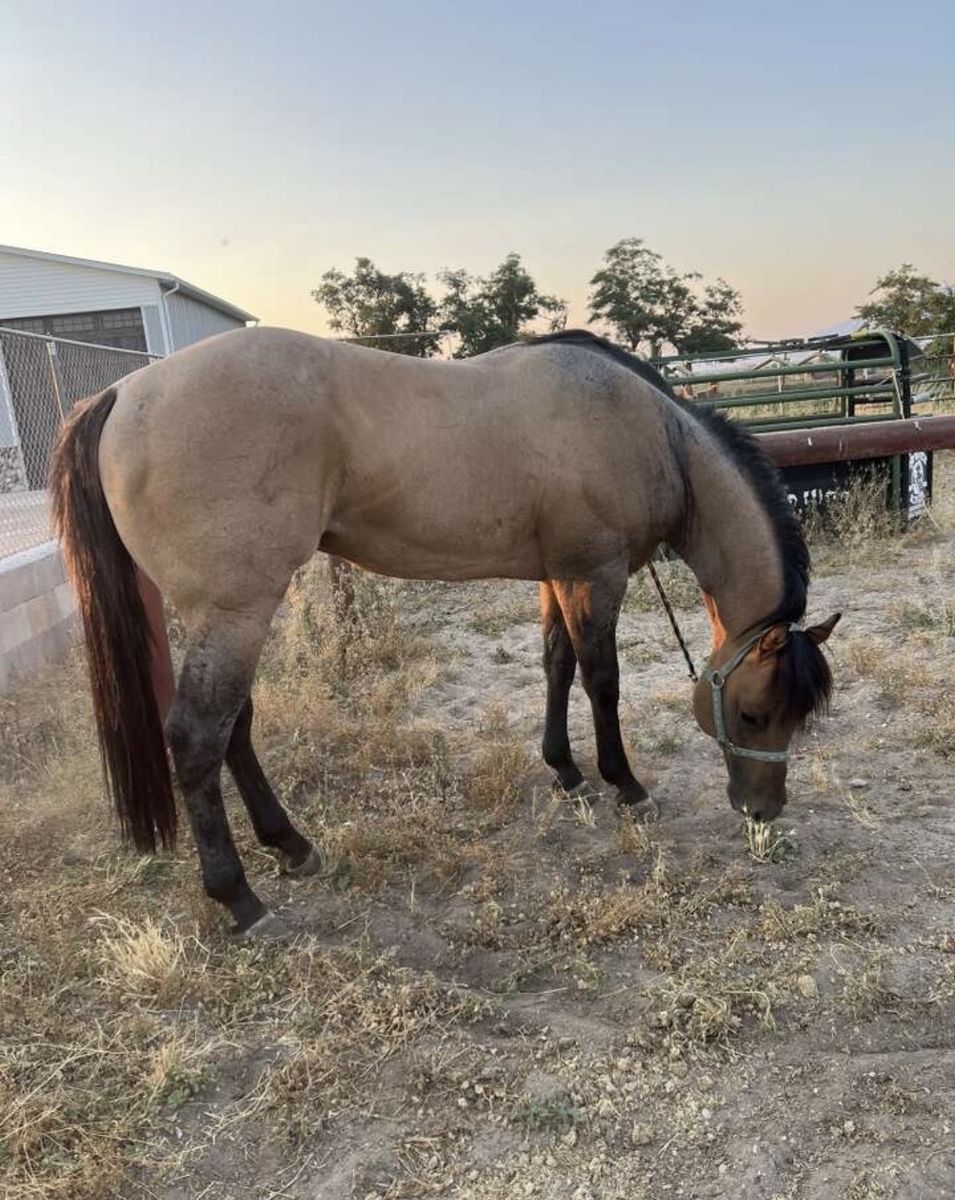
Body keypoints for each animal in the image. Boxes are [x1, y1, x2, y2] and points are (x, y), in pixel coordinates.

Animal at [50, 328, 839, 934]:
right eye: (753, 713)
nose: (764, 809)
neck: (653, 434)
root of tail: (122, 394)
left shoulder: (557, 575)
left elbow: (555, 666)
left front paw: (565, 771)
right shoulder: (595, 574)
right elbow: (601, 681)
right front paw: (624, 784)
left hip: (232, 615)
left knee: (232, 728)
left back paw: (290, 846)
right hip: (234, 610)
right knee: (196, 736)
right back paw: (240, 898)